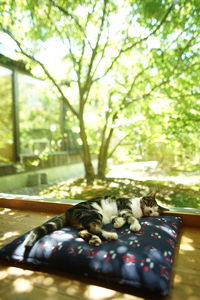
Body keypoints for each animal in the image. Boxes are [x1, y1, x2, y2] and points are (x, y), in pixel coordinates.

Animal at [23, 192, 161, 246]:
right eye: (150, 203)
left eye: (156, 211)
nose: (151, 211)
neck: (138, 209)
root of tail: (68, 211)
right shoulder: (124, 207)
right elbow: (131, 218)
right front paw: (135, 225)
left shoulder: (119, 213)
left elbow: (118, 219)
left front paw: (118, 222)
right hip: (94, 213)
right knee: (94, 228)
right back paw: (110, 235)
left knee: (83, 231)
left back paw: (94, 239)